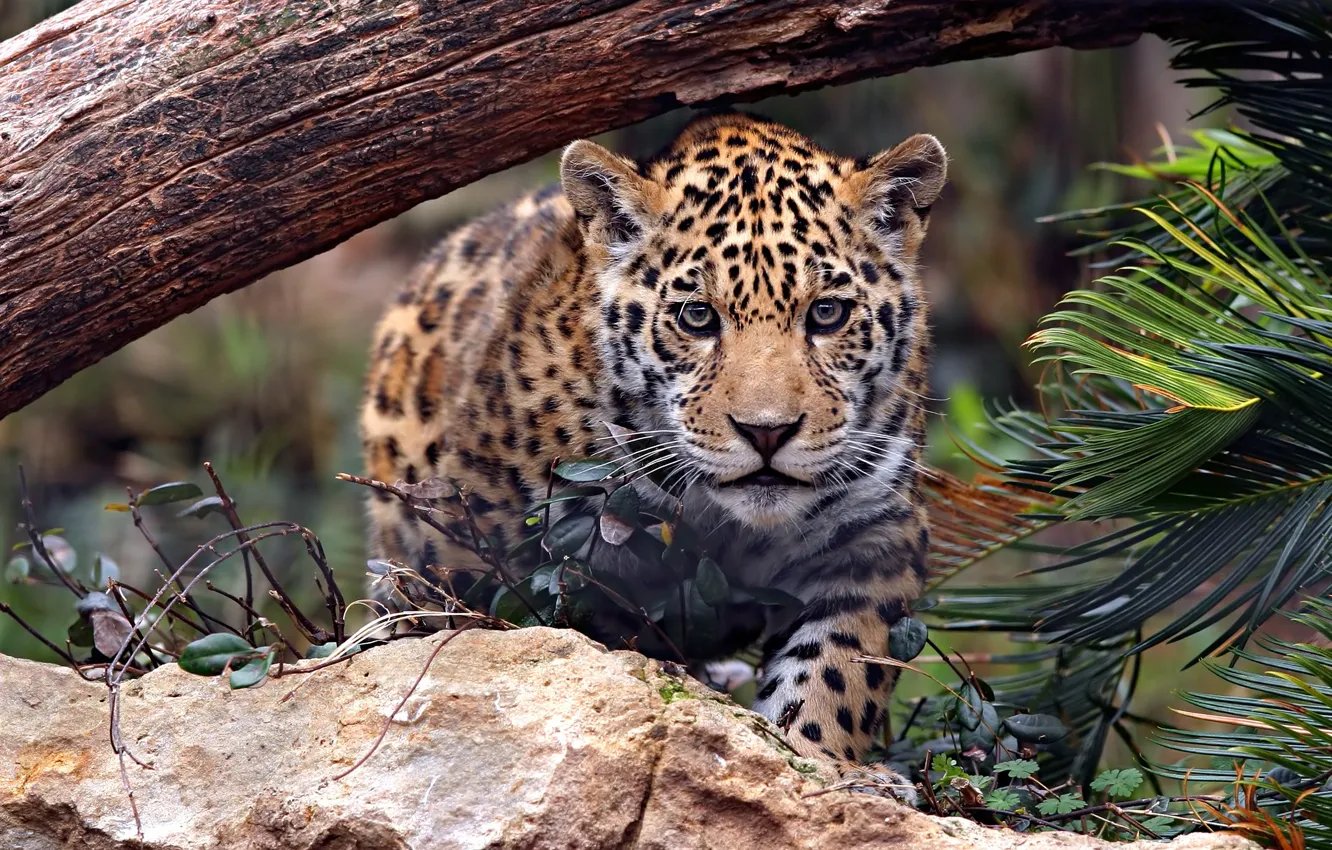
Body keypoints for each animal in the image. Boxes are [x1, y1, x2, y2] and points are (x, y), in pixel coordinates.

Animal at [360, 112, 946, 797]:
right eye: (697, 317)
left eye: (827, 313)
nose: (767, 433)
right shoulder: (475, 558)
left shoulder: (875, 536)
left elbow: (839, 669)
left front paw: (821, 763)